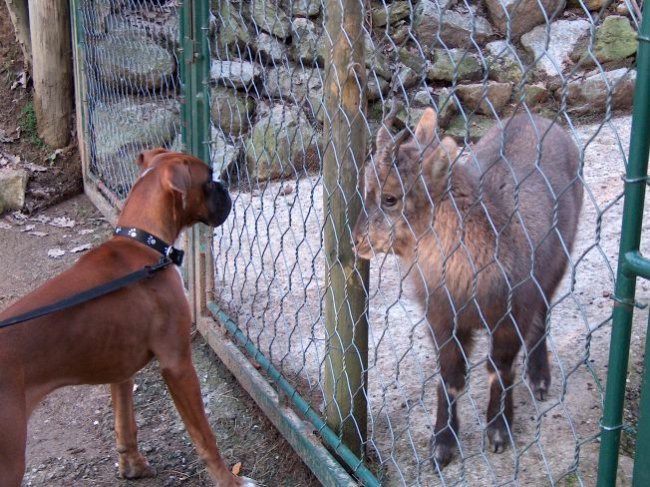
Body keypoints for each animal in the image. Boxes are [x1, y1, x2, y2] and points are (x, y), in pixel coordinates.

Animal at [0, 150, 256, 487]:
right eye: (209, 176)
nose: (225, 187)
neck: (143, 243)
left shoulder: (121, 371)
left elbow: (125, 423)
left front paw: (133, 466)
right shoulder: (178, 365)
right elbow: (205, 437)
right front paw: (230, 480)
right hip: (9, 459)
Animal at [352, 109, 584, 468]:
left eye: (390, 198)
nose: (356, 241)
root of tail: (536, 118)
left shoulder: (510, 317)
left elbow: (499, 369)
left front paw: (499, 430)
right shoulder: (442, 320)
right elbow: (450, 378)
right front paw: (442, 444)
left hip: (558, 261)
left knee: (542, 314)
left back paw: (539, 377)